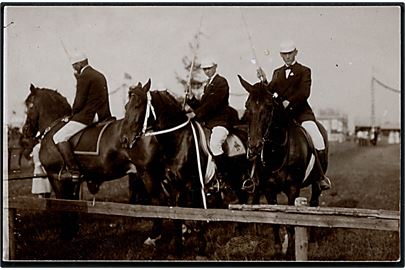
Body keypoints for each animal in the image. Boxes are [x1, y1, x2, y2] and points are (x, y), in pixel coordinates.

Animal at [22, 84, 160, 238]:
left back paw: (155, 236)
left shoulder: (54, 176)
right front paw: (72, 232)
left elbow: (62, 203)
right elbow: (72, 203)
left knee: (158, 203)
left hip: (147, 173)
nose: (25, 130)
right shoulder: (73, 180)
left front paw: (65, 234)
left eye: (30, 105)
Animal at [237, 75, 328, 258]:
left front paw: (290, 251)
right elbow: (275, 221)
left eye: (269, 106)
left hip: (316, 183)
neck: (277, 151)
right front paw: (279, 250)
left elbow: (291, 223)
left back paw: (312, 240)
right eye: (247, 106)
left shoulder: (293, 188)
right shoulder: (268, 189)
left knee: (314, 203)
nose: (255, 146)